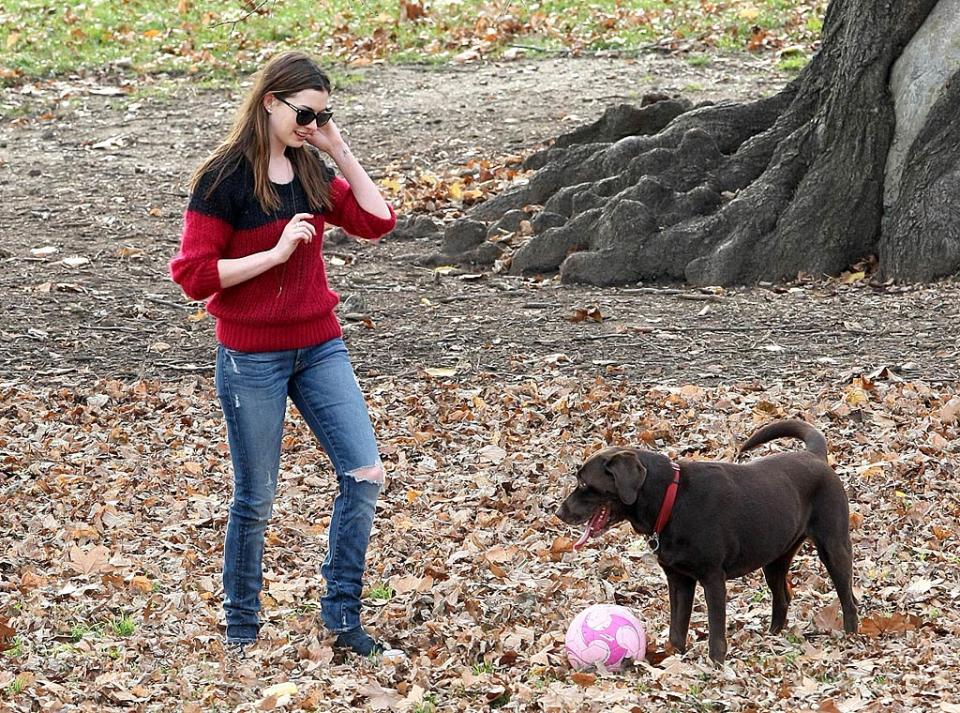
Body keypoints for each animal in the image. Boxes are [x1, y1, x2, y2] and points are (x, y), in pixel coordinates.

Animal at [560, 418, 860, 660]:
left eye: (584, 483)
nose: (558, 512)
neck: (671, 500)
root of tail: (815, 456)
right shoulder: (679, 579)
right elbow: (677, 628)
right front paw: (673, 659)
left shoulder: (713, 577)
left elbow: (716, 631)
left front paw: (716, 664)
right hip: (775, 558)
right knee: (782, 598)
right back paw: (772, 636)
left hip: (834, 547)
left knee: (848, 599)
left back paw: (851, 637)